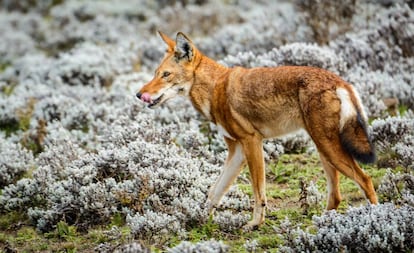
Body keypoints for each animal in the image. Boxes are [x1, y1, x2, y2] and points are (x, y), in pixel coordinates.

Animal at [137, 31, 378, 229]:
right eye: (155, 73)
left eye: (165, 75)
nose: (139, 95)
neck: (215, 88)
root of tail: (341, 82)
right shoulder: (236, 151)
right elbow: (214, 192)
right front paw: (198, 219)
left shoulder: (252, 142)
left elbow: (258, 191)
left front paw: (255, 223)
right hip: (323, 150)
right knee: (336, 195)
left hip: (328, 149)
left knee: (366, 180)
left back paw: (375, 217)